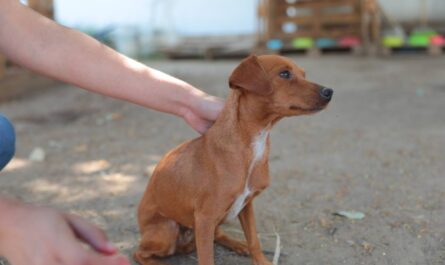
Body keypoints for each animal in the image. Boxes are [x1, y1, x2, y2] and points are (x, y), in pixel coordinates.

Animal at [135, 54, 332, 262]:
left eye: (304, 74)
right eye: (284, 74)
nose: (329, 91)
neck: (253, 146)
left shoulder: (246, 205)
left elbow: (254, 240)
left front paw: (261, 260)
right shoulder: (205, 218)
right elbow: (207, 259)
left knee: (217, 235)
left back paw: (238, 245)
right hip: (166, 230)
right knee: (140, 253)